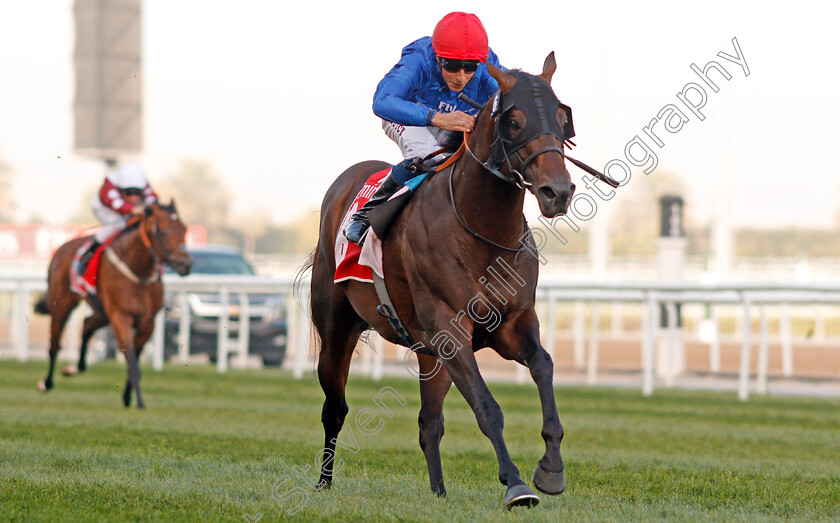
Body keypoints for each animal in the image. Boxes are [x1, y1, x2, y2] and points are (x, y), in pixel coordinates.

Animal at [34, 201, 192, 410]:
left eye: (184, 230)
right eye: (164, 232)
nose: (186, 265)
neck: (138, 269)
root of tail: (62, 247)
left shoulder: (147, 322)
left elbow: (135, 358)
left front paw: (128, 397)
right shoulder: (120, 317)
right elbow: (131, 359)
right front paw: (138, 401)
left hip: (102, 312)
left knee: (87, 325)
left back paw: (75, 368)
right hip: (62, 305)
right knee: (54, 344)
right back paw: (46, 383)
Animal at [308, 53, 576, 508]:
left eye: (562, 118)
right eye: (514, 121)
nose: (557, 191)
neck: (481, 228)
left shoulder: (511, 323)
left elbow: (543, 365)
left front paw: (551, 469)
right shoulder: (450, 327)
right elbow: (487, 407)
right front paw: (516, 483)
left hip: (431, 355)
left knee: (428, 423)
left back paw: (438, 492)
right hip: (336, 328)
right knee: (335, 408)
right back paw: (323, 484)